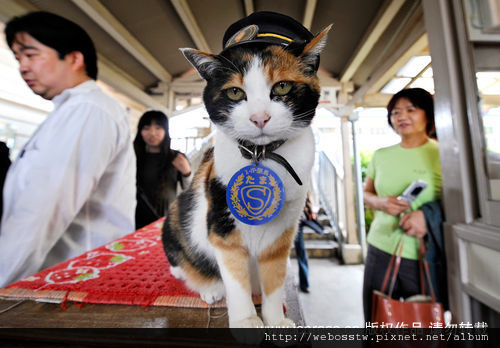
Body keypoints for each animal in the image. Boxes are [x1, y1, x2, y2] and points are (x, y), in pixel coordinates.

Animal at [162, 14, 330, 328]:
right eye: (235, 92)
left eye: (282, 87)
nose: (259, 117)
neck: (263, 156)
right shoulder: (222, 226)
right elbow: (235, 279)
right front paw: (247, 321)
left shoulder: (282, 233)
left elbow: (275, 278)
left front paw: (275, 320)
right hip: (176, 215)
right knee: (182, 262)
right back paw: (209, 287)